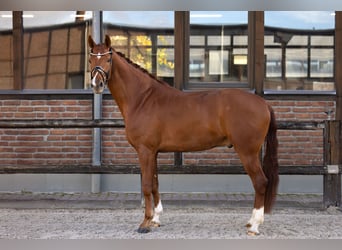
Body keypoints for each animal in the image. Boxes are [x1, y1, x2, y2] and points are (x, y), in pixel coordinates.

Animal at [87, 35, 278, 236]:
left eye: (108, 59)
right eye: (91, 59)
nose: (97, 84)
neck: (142, 99)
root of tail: (263, 103)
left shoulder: (145, 151)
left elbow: (146, 185)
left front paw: (145, 223)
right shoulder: (154, 152)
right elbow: (155, 183)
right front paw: (156, 219)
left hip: (247, 152)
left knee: (260, 182)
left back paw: (254, 225)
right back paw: (251, 223)